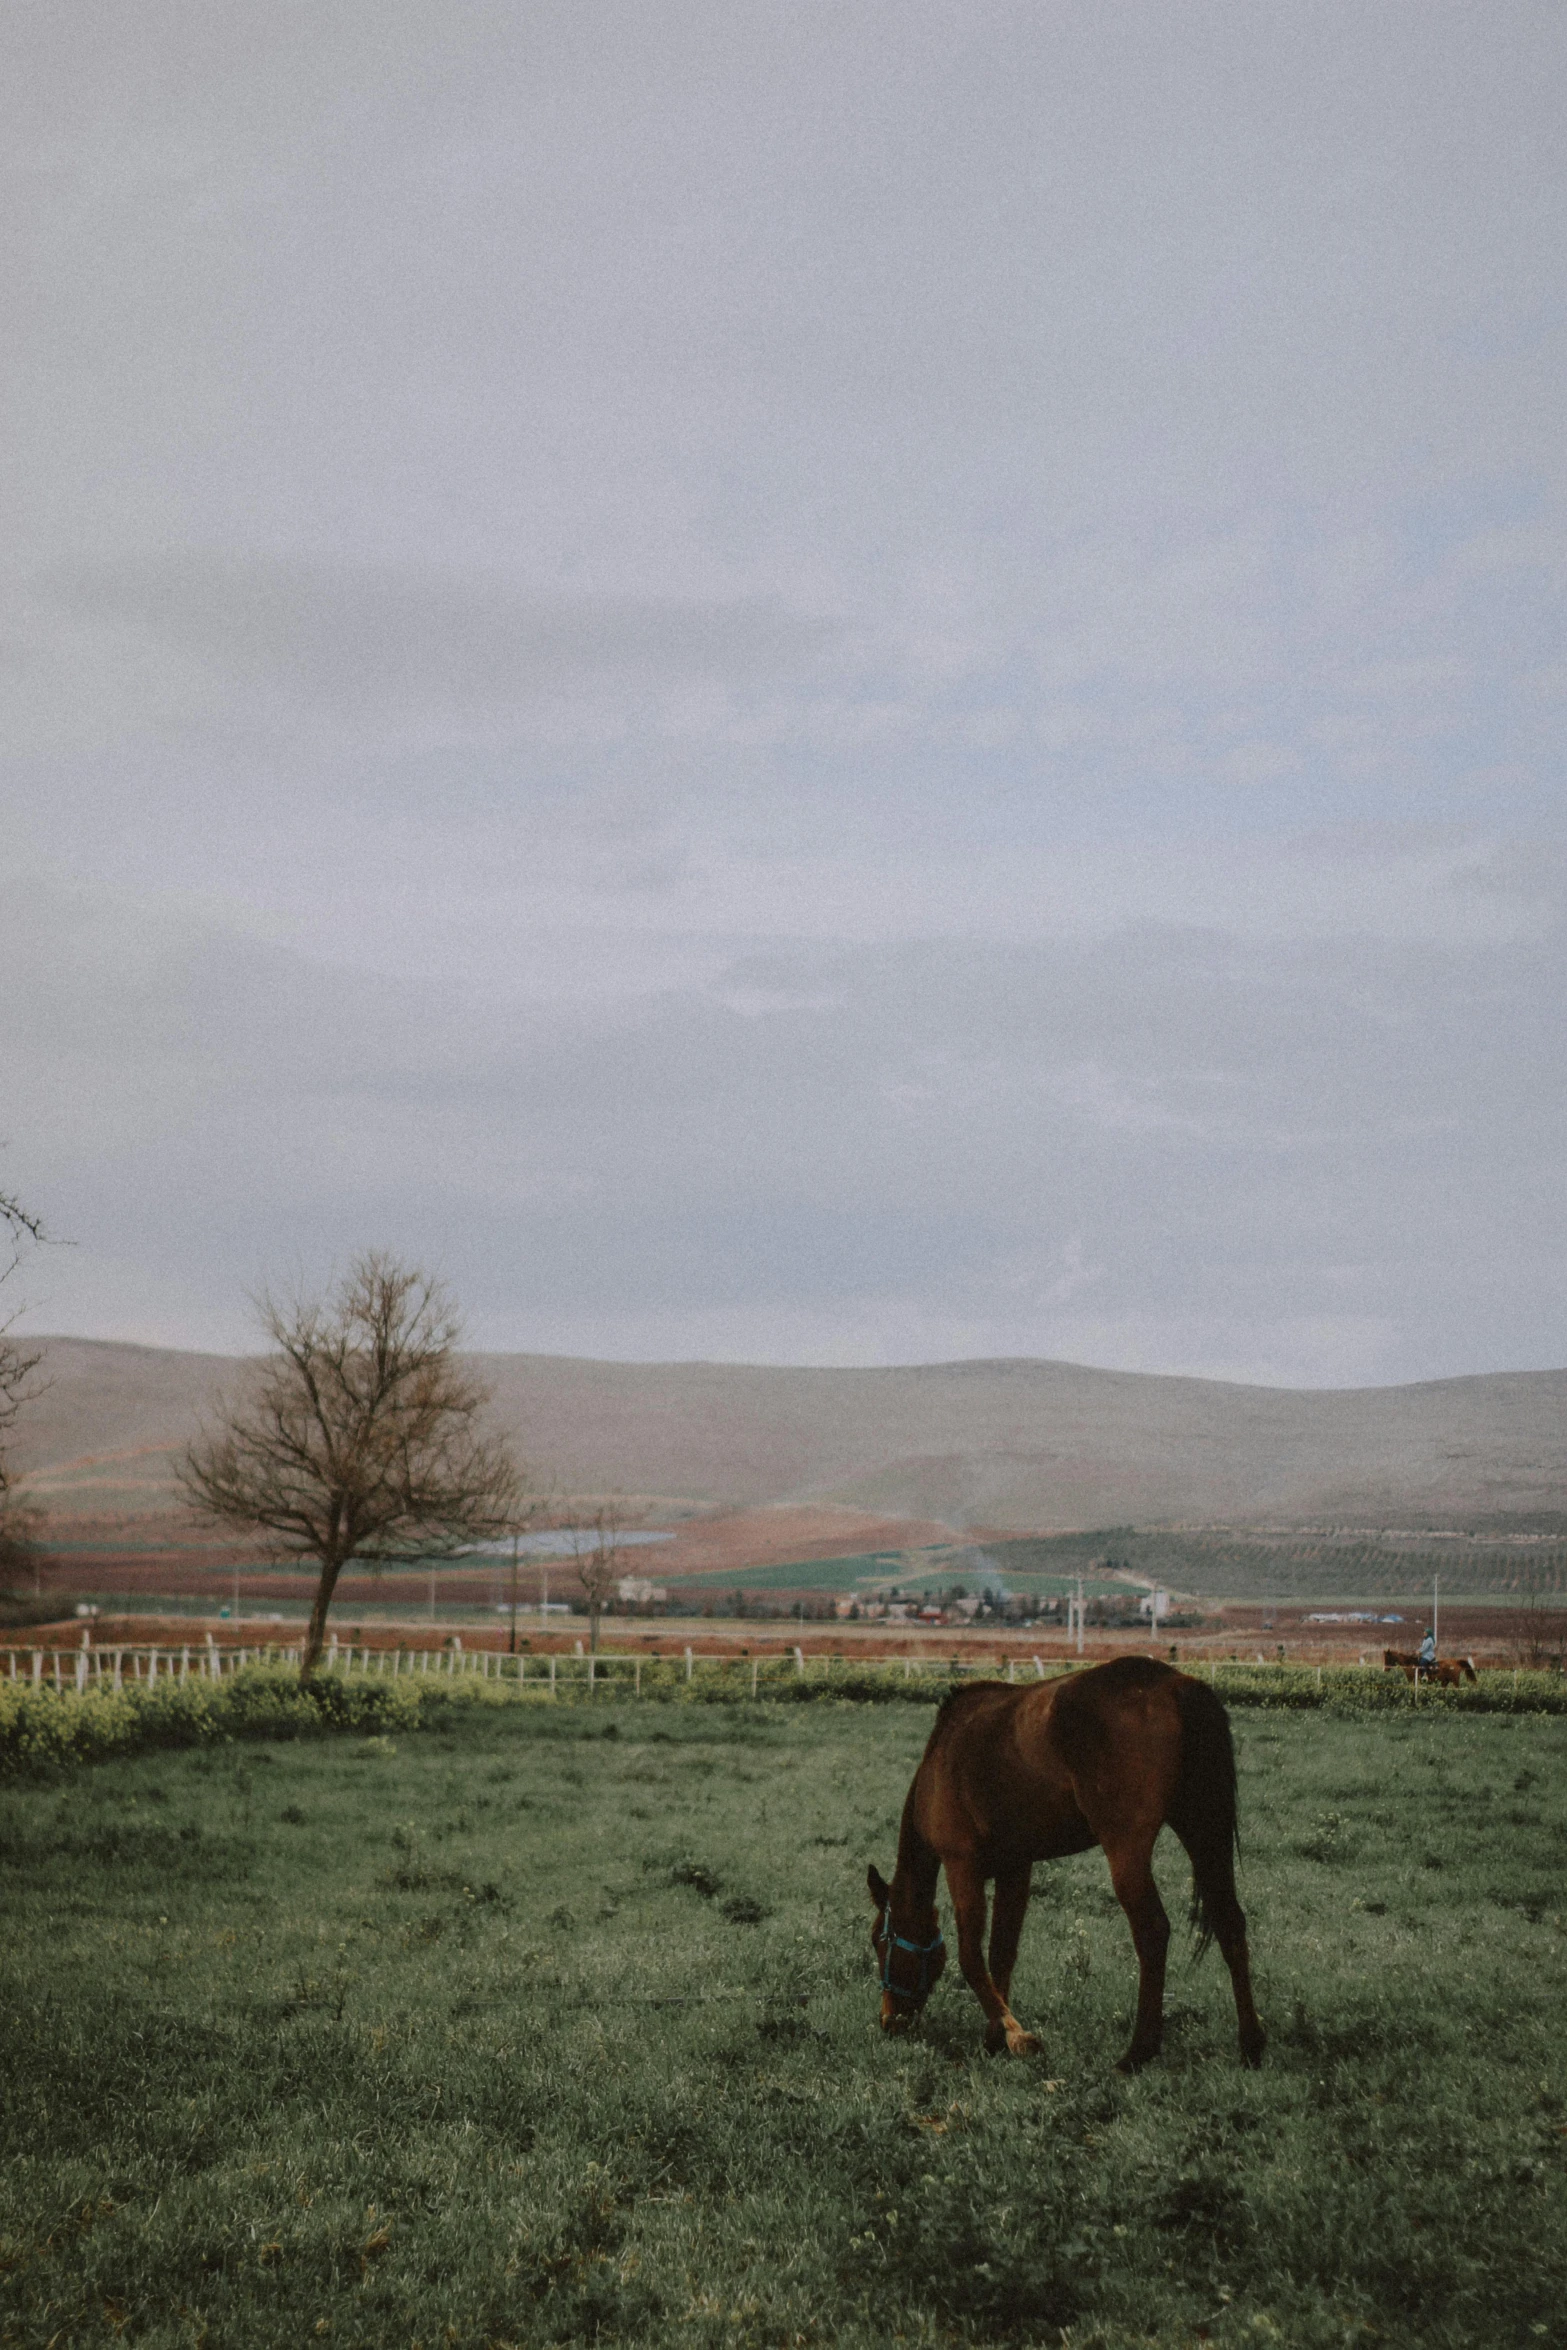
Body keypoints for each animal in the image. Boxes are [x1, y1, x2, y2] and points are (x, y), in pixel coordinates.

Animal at [864, 1654, 1268, 2077]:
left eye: (879, 1940)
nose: (889, 2021)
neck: (940, 1759)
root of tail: (1174, 1684)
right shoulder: (1015, 1869)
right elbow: (1001, 1953)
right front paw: (995, 2038)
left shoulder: (962, 1866)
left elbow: (972, 1959)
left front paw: (1017, 2036)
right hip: (1203, 1833)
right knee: (1229, 1921)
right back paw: (1251, 2045)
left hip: (1128, 1850)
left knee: (1153, 1931)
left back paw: (1138, 2051)